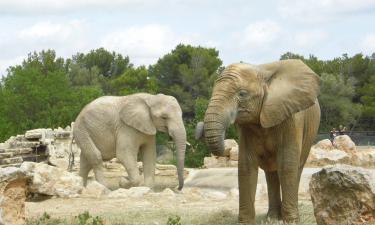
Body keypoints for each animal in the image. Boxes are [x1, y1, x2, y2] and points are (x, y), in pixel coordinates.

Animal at [195, 60, 322, 225]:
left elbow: (287, 165)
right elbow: (246, 166)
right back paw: (272, 218)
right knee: (271, 173)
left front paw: (291, 222)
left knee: (295, 169)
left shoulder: (291, 119)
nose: (199, 128)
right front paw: (246, 223)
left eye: (242, 94)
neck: (262, 71)